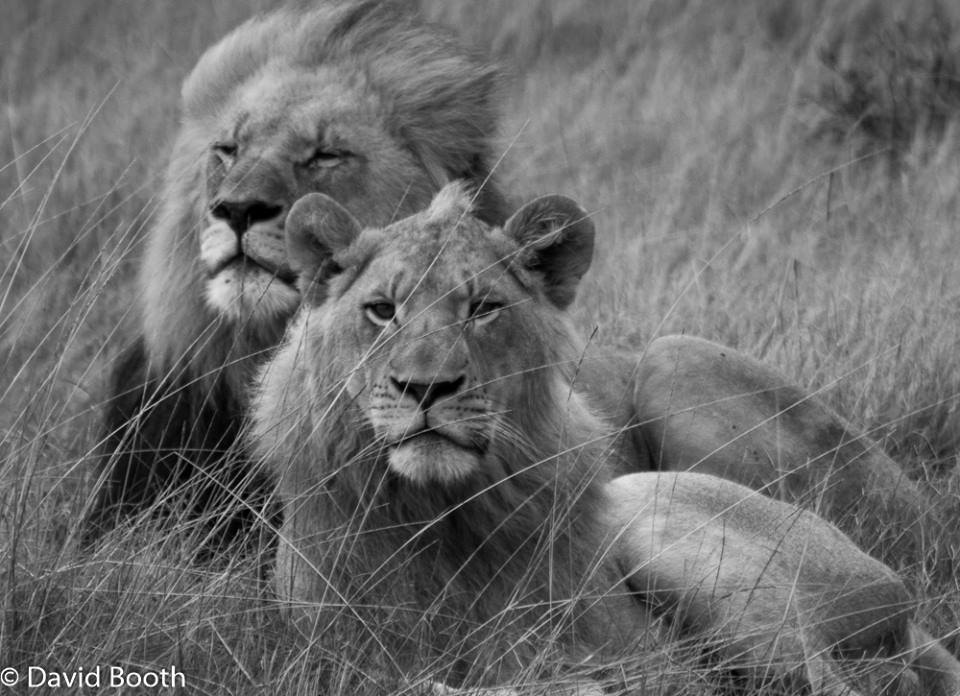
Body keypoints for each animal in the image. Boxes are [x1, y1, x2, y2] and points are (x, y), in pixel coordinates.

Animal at [249, 184, 960, 696]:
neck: (434, 511)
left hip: (663, 468)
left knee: (827, 679)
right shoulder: (336, 652)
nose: (427, 387)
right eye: (381, 310)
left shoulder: (546, 644)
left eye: (483, 309)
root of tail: (900, 597)